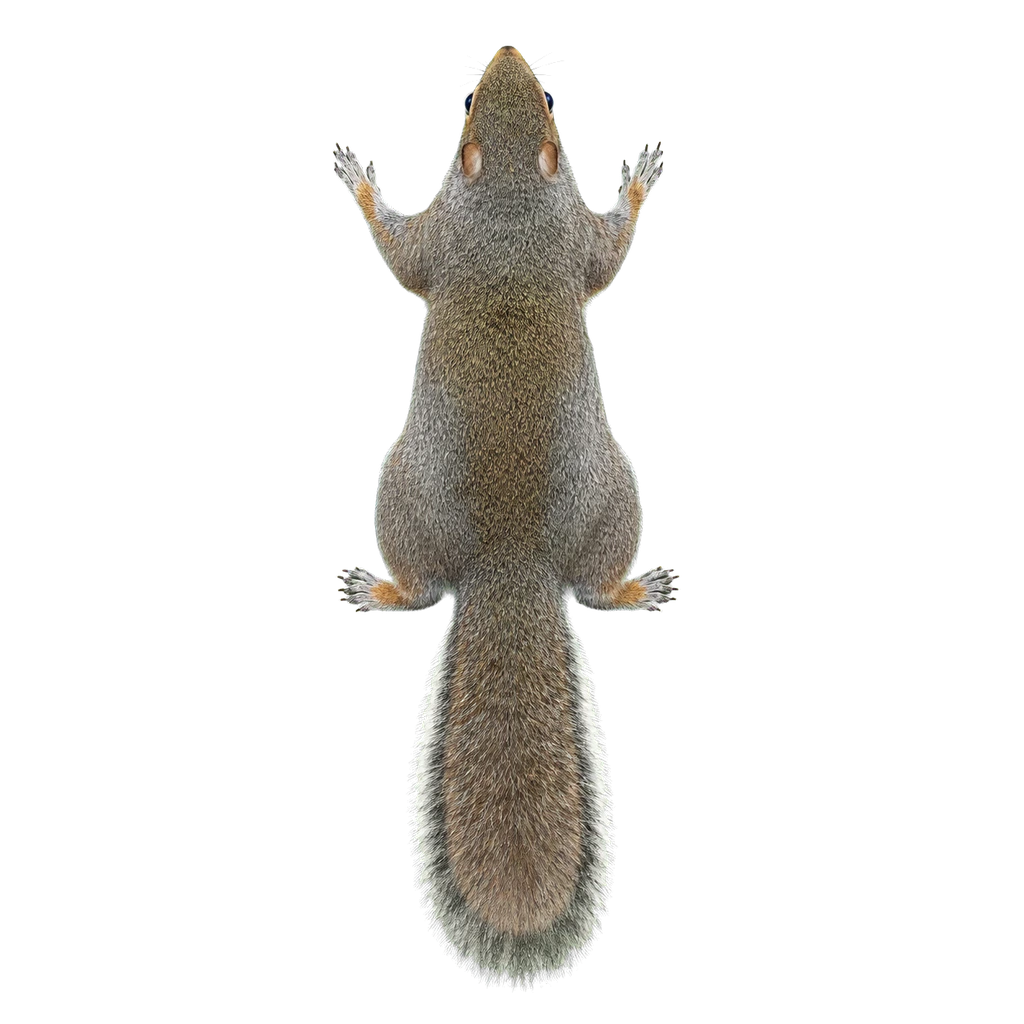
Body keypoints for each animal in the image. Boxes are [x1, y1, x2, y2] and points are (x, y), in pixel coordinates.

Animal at [337, 45, 675, 988]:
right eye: (473, 112)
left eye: (547, 104)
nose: (507, 52)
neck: (514, 204)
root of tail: (510, 559)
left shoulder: (498, 236)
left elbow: (416, 255)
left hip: (436, 493)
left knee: (468, 589)